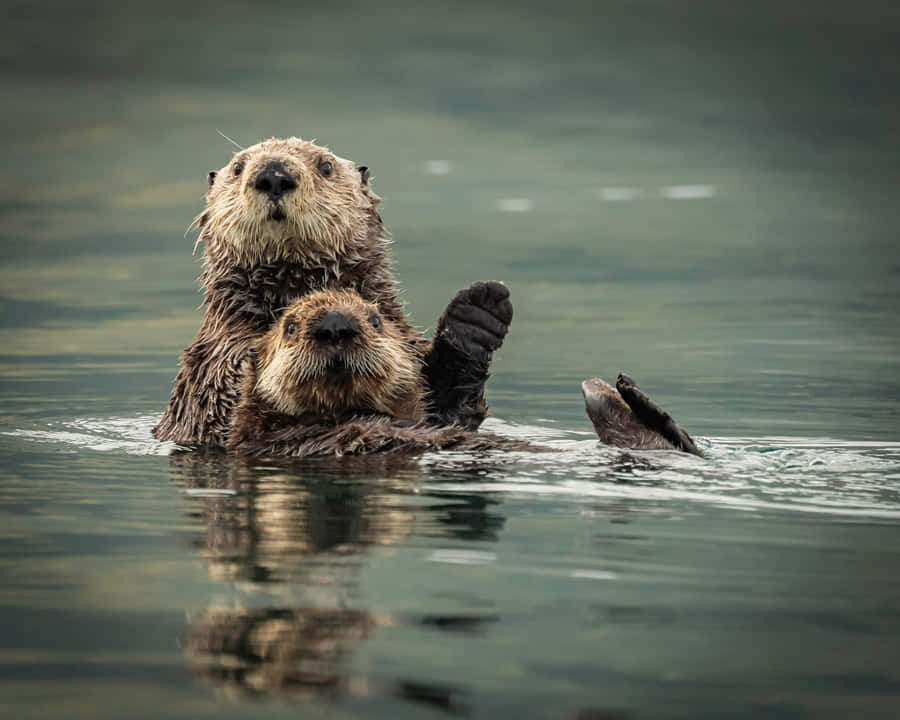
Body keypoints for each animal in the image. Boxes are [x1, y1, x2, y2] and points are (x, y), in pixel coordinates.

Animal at [154, 137, 512, 447]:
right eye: (238, 167)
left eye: (325, 166)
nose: (273, 175)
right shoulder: (214, 366)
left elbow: (448, 409)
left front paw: (477, 313)